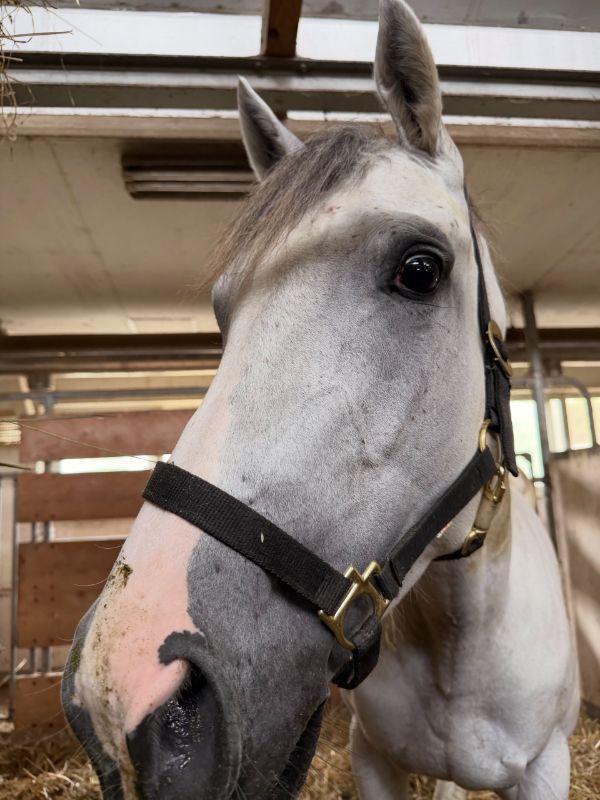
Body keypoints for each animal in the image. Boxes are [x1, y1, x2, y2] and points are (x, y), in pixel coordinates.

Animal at [61, 1, 578, 798]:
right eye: (224, 313)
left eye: (420, 269)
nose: (123, 690)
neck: (457, 634)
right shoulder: (372, 759)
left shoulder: (546, 764)